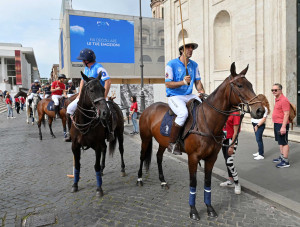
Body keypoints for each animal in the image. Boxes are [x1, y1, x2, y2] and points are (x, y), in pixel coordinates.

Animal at [137, 62, 264, 220]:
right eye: (240, 85)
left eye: (251, 84)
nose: (260, 110)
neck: (207, 121)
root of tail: (148, 108)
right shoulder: (193, 157)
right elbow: (193, 182)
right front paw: (193, 210)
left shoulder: (211, 158)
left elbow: (207, 182)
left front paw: (209, 208)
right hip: (145, 138)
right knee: (142, 156)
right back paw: (139, 179)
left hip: (162, 142)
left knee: (159, 157)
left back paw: (163, 181)